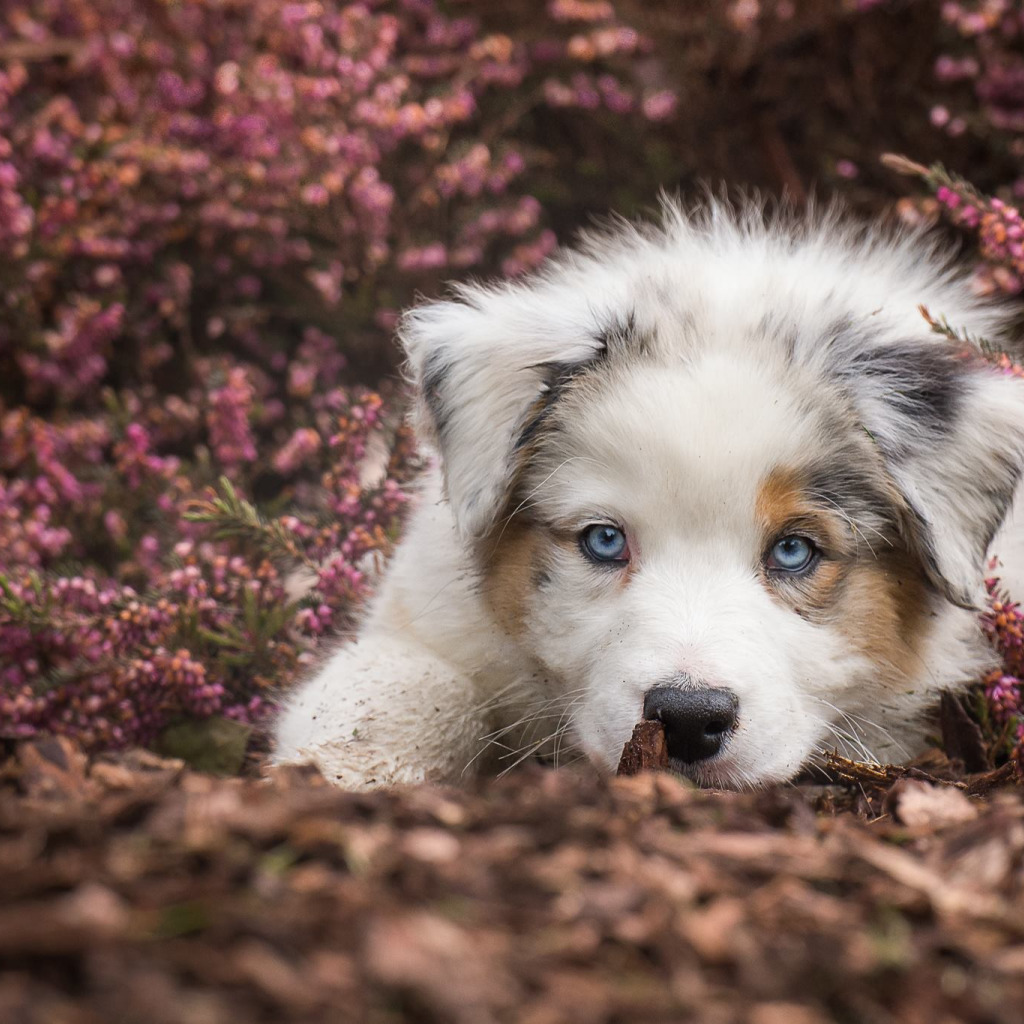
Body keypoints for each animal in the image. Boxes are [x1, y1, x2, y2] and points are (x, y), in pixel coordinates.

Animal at [274, 201, 1024, 790]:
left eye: (794, 551)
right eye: (604, 540)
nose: (688, 721)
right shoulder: (426, 612)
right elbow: (401, 679)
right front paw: (341, 770)